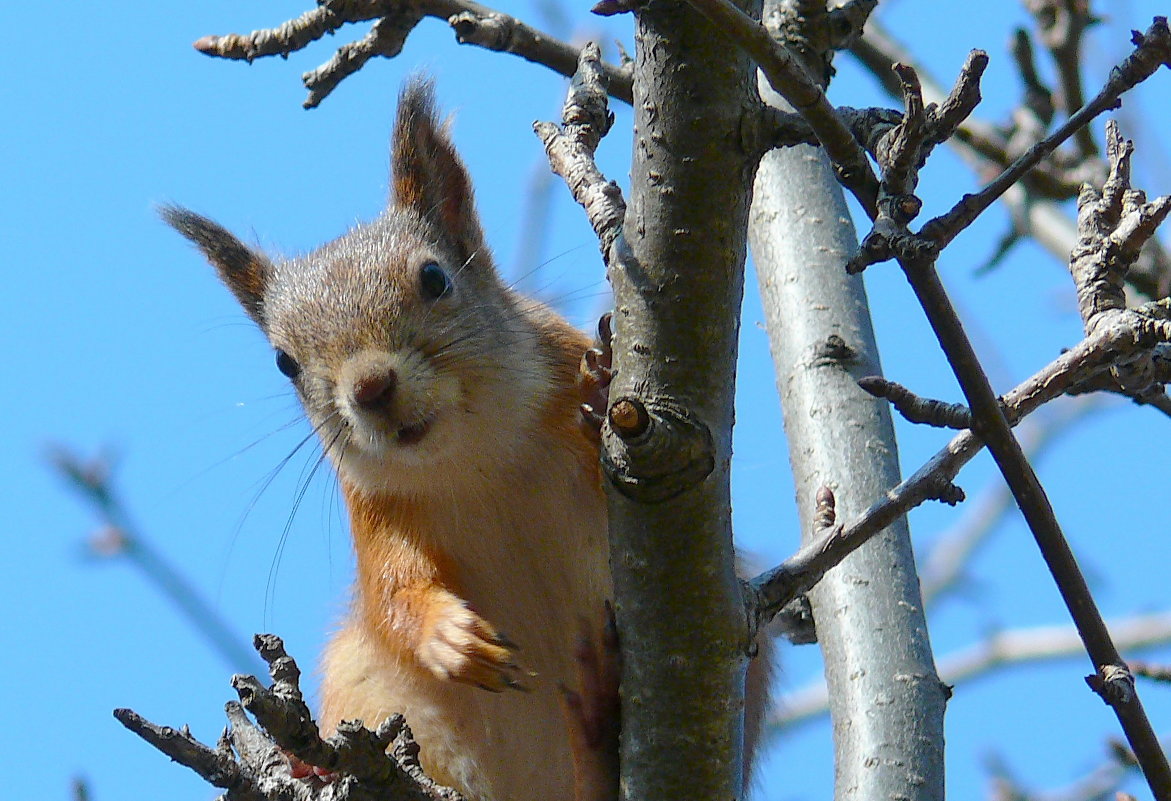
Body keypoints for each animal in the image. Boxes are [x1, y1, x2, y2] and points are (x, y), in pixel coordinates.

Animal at [162, 76, 768, 800]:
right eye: (283, 361)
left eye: (434, 278)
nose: (370, 387)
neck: (473, 460)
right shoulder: (376, 514)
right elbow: (391, 596)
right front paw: (449, 639)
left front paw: (600, 392)